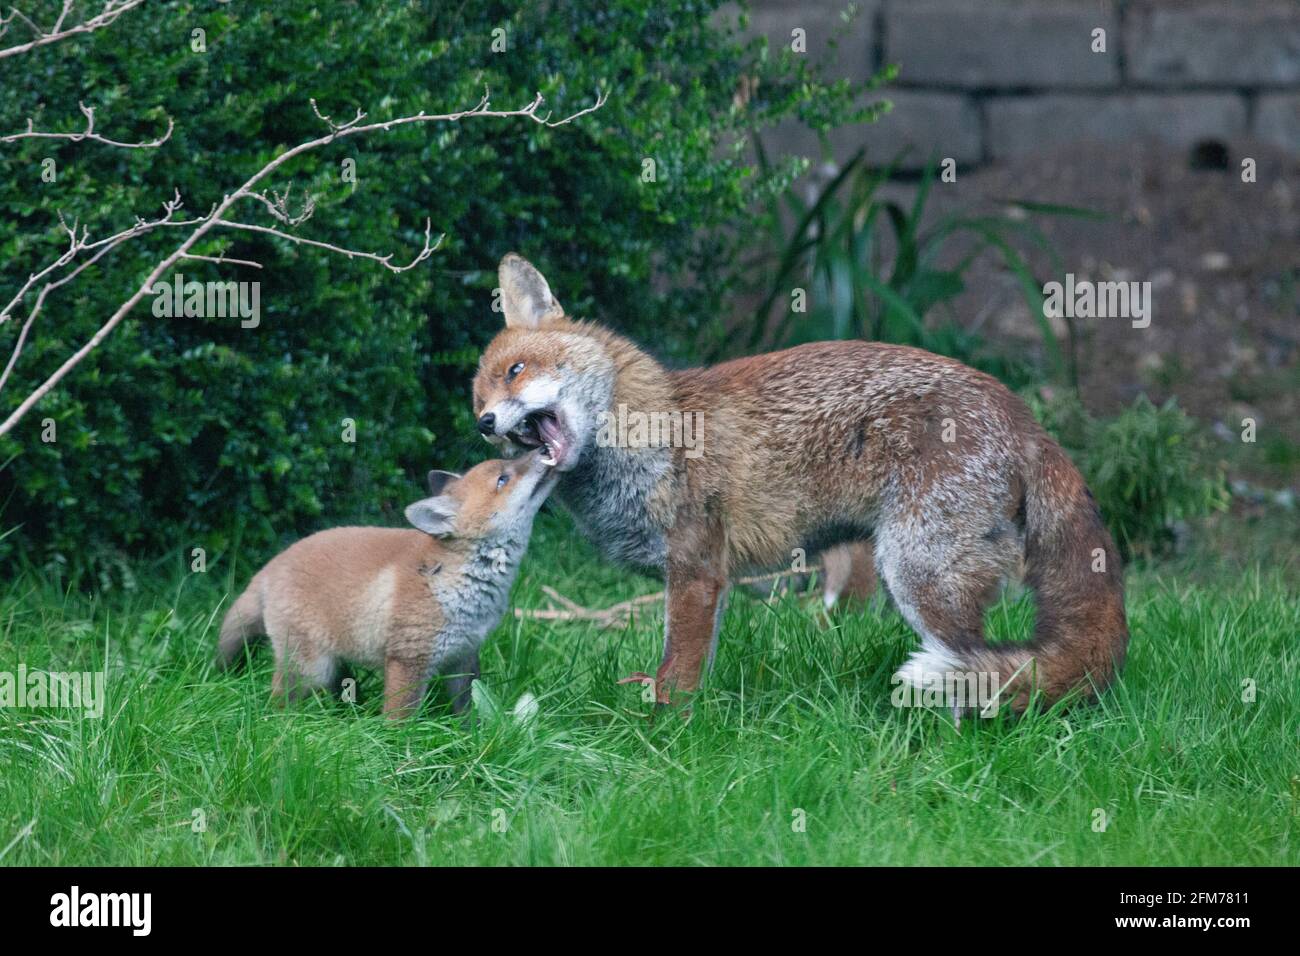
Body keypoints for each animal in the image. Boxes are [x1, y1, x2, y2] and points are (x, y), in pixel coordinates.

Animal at [214, 451, 557, 718]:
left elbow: (467, 710)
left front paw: (470, 738)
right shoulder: (407, 660)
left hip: (334, 667)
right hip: (310, 669)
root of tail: (270, 566)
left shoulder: (464, 654)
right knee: (279, 701)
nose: (542, 449)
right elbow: (399, 721)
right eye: (503, 479)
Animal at [470, 254, 1129, 712]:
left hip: (916, 570)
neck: (654, 433)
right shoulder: (713, 580)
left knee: (970, 658)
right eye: (478, 398)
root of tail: (1023, 415)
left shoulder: (696, 566)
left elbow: (678, 670)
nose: (485, 424)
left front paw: (666, 726)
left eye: (516, 371)